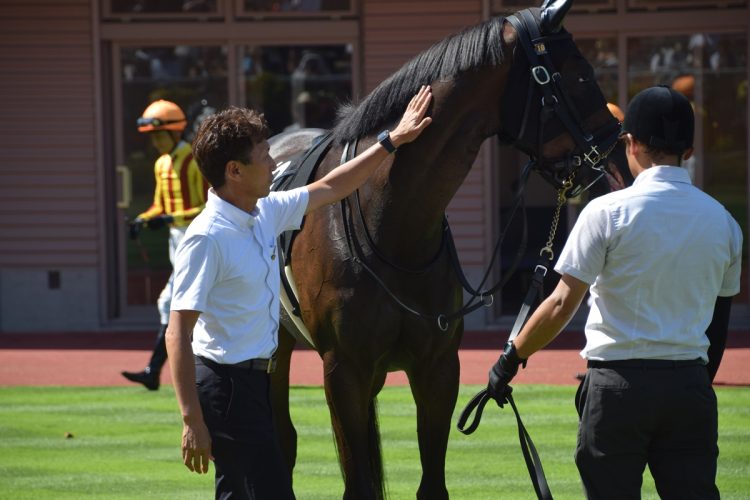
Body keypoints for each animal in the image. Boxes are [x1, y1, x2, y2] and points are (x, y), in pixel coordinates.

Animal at [268, 1, 632, 498]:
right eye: (580, 75)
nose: (620, 167)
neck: (390, 224)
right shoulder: (343, 370)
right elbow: (357, 482)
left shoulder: (437, 367)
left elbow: (432, 483)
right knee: (280, 440)